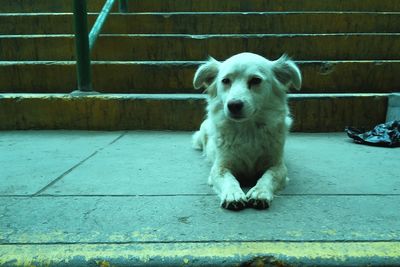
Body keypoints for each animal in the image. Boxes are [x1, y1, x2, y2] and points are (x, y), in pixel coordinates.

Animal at [192, 52, 302, 211]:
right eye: (225, 81)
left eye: (256, 80)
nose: (233, 105)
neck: (247, 130)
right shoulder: (220, 167)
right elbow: (229, 178)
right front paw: (233, 194)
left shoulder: (278, 166)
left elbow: (269, 176)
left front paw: (260, 192)